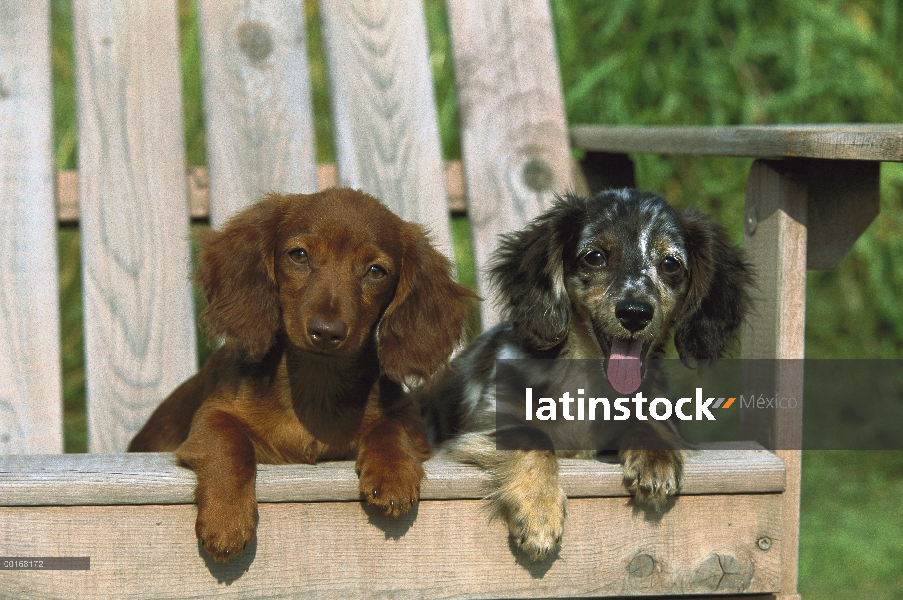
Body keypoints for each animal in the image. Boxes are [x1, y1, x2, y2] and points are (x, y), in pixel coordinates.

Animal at [132, 189, 480, 564]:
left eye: (376, 271)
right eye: (299, 255)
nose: (326, 332)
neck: (316, 382)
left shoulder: (411, 421)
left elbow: (390, 427)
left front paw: (393, 474)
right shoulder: (212, 415)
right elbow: (230, 448)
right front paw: (227, 520)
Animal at [424, 190, 748, 560]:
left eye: (670, 264)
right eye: (595, 257)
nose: (635, 313)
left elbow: (650, 421)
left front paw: (656, 456)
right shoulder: (490, 421)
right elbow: (534, 439)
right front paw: (539, 512)